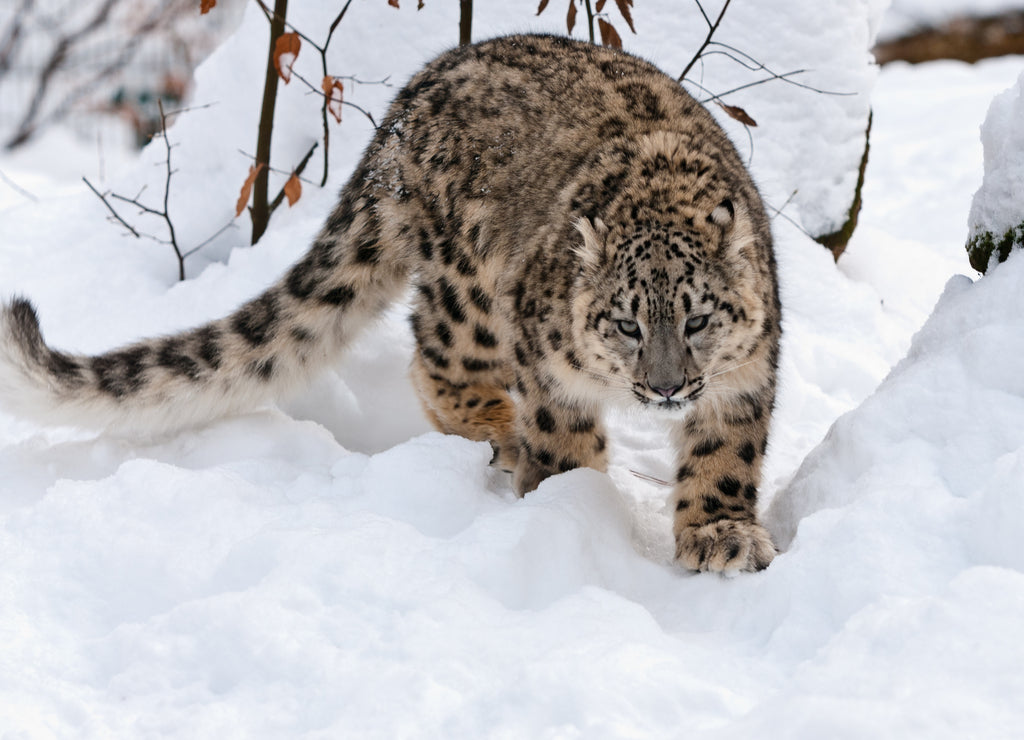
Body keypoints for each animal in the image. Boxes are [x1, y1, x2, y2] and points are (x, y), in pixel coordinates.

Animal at [0, 34, 780, 572]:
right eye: (625, 322)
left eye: (698, 318)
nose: (665, 386)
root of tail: (417, 91)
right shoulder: (549, 365)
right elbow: (564, 436)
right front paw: (572, 504)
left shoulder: (745, 374)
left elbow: (725, 452)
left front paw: (721, 534)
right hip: (469, 294)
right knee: (435, 362)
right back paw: (498, 433)